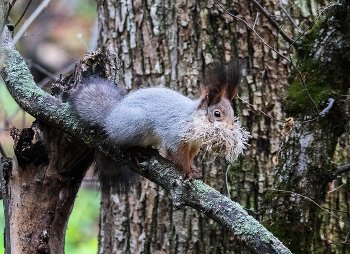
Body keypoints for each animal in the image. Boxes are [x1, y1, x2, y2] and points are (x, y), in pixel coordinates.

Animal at [68, 61, 250, 192]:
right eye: (217, 114)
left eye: (232, 113)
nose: (231, 130)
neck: (193, 118)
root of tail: (110, 118)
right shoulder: (176, 136)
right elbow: (178, 156)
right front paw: (187, 171)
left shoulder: (193, 146)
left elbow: (189, 157)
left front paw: (193, 168)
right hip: (135, 125)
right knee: (118, 142)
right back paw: (132, 151)